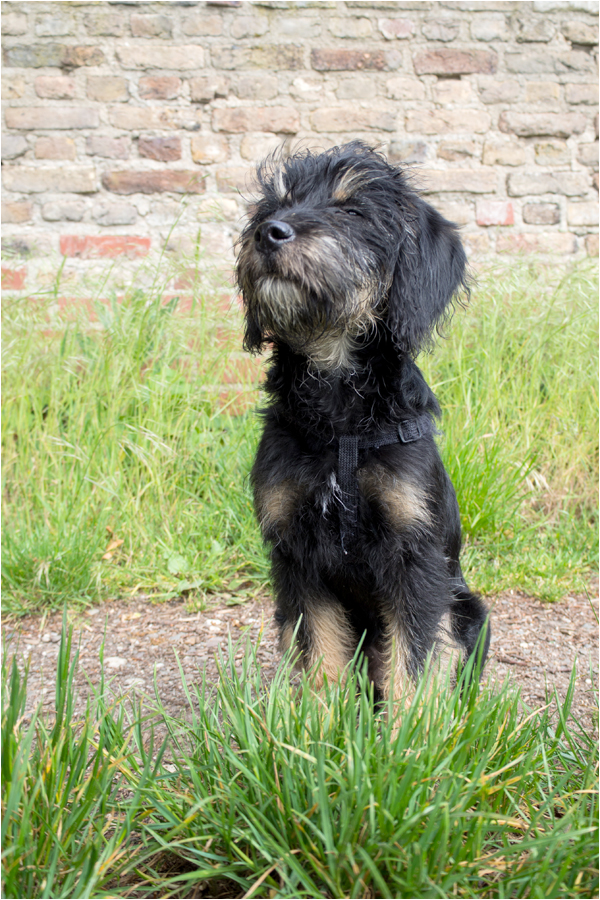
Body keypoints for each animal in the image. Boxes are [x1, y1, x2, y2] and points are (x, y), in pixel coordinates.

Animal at [237, 142, 490, 704]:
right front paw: (317, 722)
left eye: (352, 212)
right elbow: (321, 651)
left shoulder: (415, 557)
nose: (269, 233)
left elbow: (414, 658)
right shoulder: (296, 557)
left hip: (470, 608)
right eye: (275, 206)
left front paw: (409, 727)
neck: (341, 421)